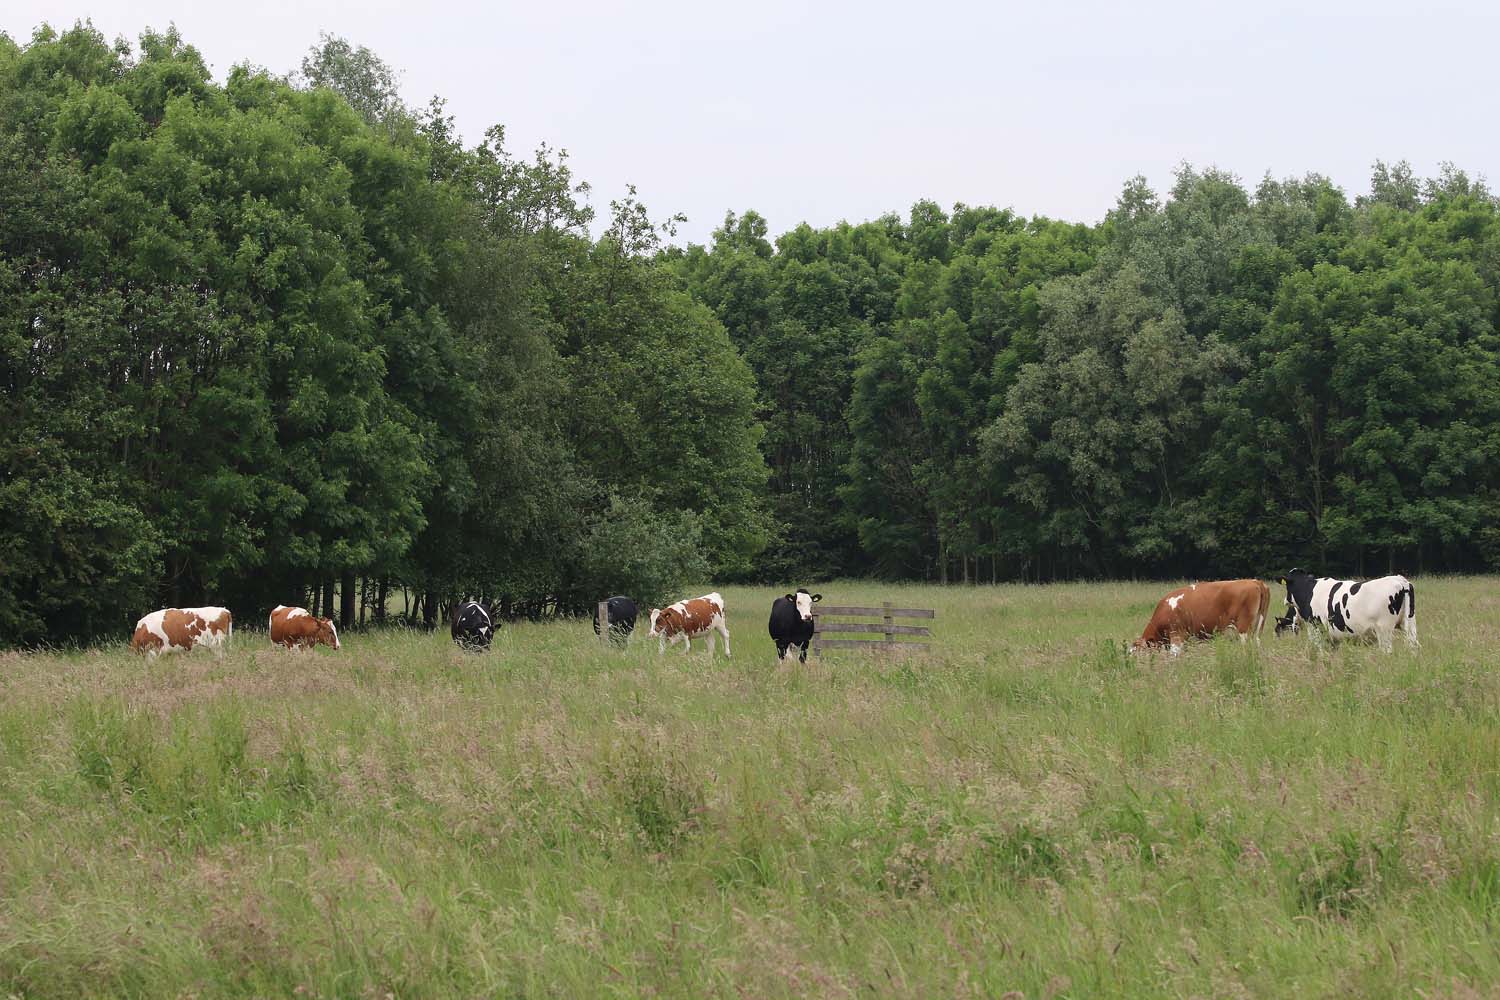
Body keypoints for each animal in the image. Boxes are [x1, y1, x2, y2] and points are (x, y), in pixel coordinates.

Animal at [1266, 566, 1416, 653]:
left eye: (1287, 587)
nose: (1285, 600)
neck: (1308, 590)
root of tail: (1400, 580)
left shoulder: (1315, 627)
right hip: (1409, 624)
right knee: (1413, 646)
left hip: (1384, 629)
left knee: (1387, 651)